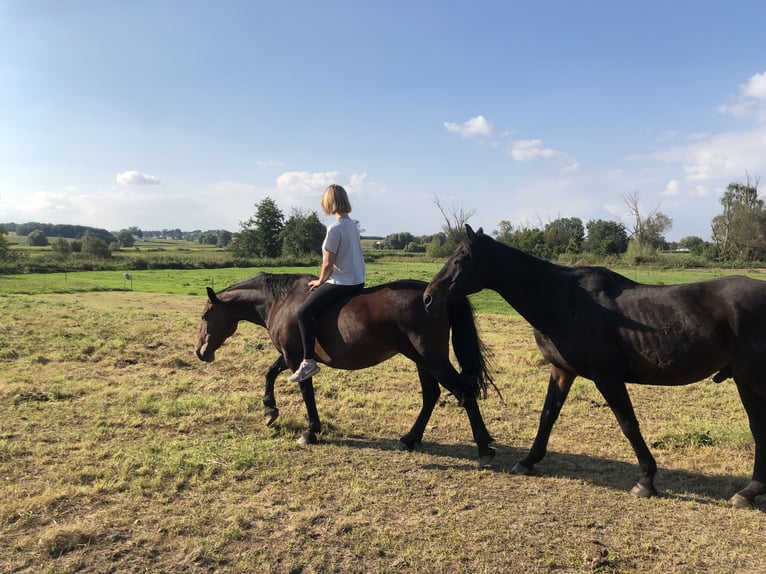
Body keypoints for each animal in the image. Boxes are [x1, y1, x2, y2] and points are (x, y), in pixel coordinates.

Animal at [195, 274, 498, 468]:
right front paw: (270, 410)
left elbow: (305, 391)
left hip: (431, 359)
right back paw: (410, 439)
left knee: (464, 392)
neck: (281, 301)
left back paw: (483, 448)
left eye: (204, 315)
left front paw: (310, 432)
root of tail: (432, 295)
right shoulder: (291, 356)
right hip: (422, 360)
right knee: (431, 395)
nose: (200, 351)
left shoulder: (295, 358)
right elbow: (270, 373)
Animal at [424, 225, 766, 508]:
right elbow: (547, 416)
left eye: (460, 259)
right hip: (744, 380)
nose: (428, 298)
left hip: (752, 378)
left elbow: (628, 424)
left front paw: (646, 481)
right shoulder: (562, 371)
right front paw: (528, 462)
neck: (564, 302)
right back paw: (749, 491)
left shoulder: (607, 377)